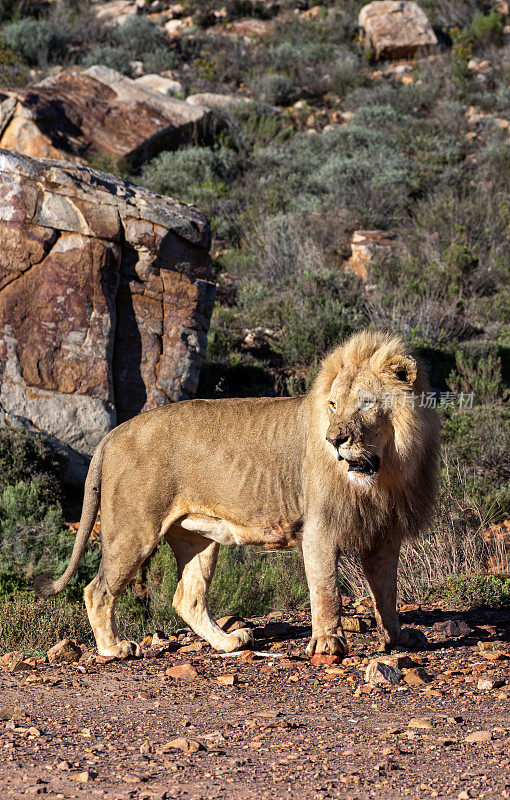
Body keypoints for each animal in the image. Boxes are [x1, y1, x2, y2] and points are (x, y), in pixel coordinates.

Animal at [35, 328, 440, 660]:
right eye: (333, 405)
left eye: (367, 402)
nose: (334, 439)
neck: (385, 473)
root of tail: (113, 433)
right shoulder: (320, 529)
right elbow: (326, 590)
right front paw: (328, 645)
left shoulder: (384, 533)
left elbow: (387, 591)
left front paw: (398, 637)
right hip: (134, 531)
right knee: (97, 590)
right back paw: (113, 648)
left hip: (196, 537)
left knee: (187, 598)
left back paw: (229, 642)